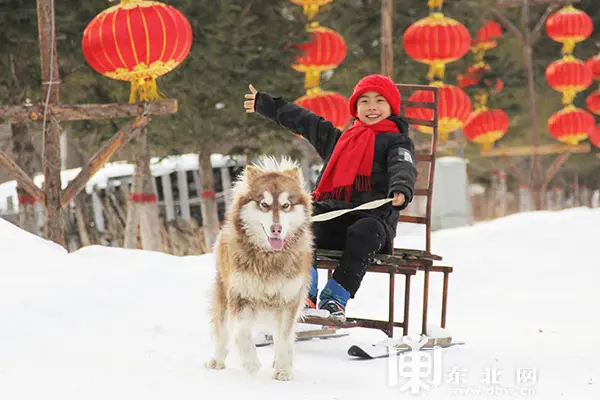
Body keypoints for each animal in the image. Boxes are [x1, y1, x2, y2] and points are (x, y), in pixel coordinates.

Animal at [205, 155, 312, 382]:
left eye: (286, 205)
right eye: (264, 204)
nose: (276, 229)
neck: (269, 258)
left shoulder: (289, 299)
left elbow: (284, 338)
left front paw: (283, 369)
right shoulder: (239, 295)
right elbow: (240, 332)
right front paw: (250, 363)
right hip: (222, 294)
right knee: (223, 331)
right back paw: (217, 360)